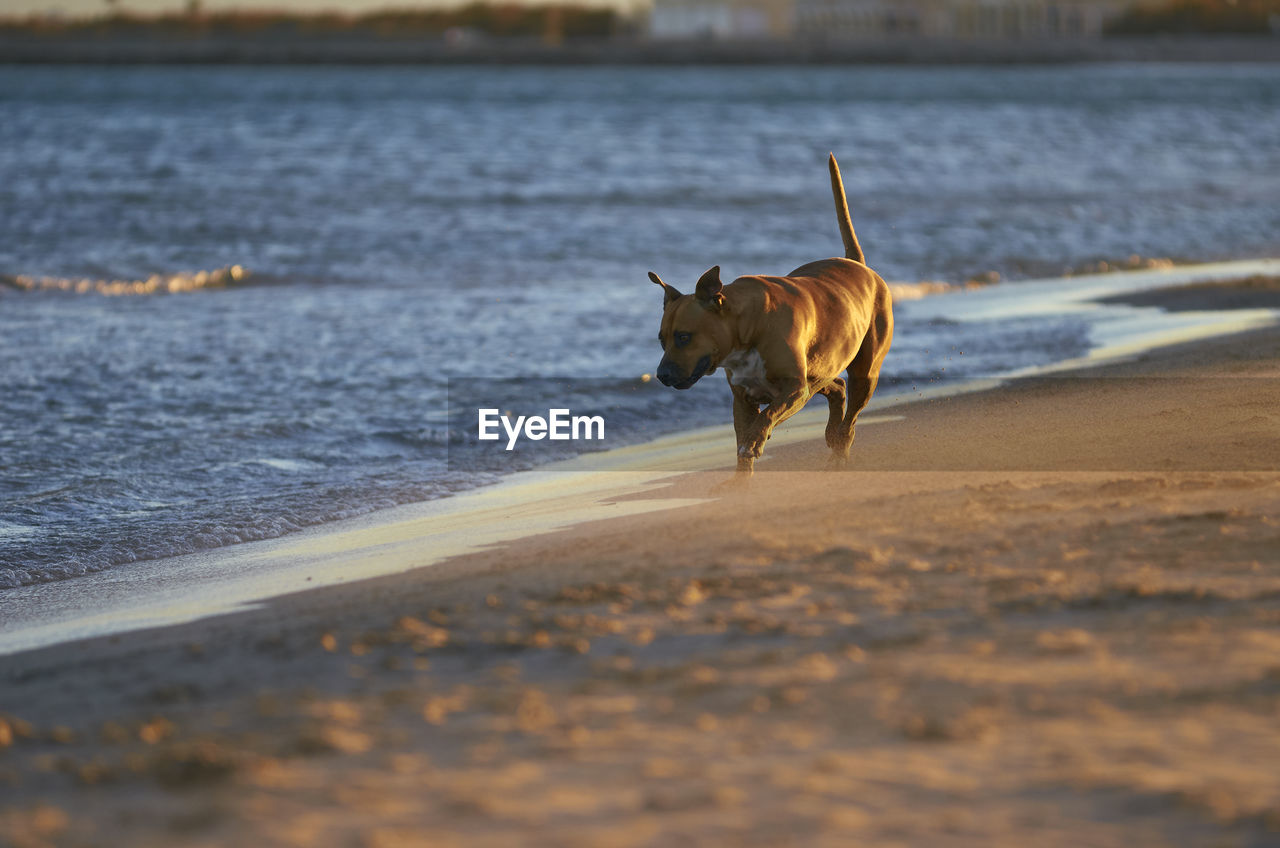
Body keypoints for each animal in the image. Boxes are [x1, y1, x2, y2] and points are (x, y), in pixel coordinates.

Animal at [645, 155, 896, 473]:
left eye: (683, 337)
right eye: (661, 340)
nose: (661, 375)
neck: (748, 327)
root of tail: (860, 266)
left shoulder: (794, 389)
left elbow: (765, 418)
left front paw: (755, 441)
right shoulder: (743, 398)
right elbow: (743, 442)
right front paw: (741, 477)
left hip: (864, 371)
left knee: (851, 413)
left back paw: (840, 446)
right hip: (819, 369)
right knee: (836, 386)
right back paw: (832, 432)